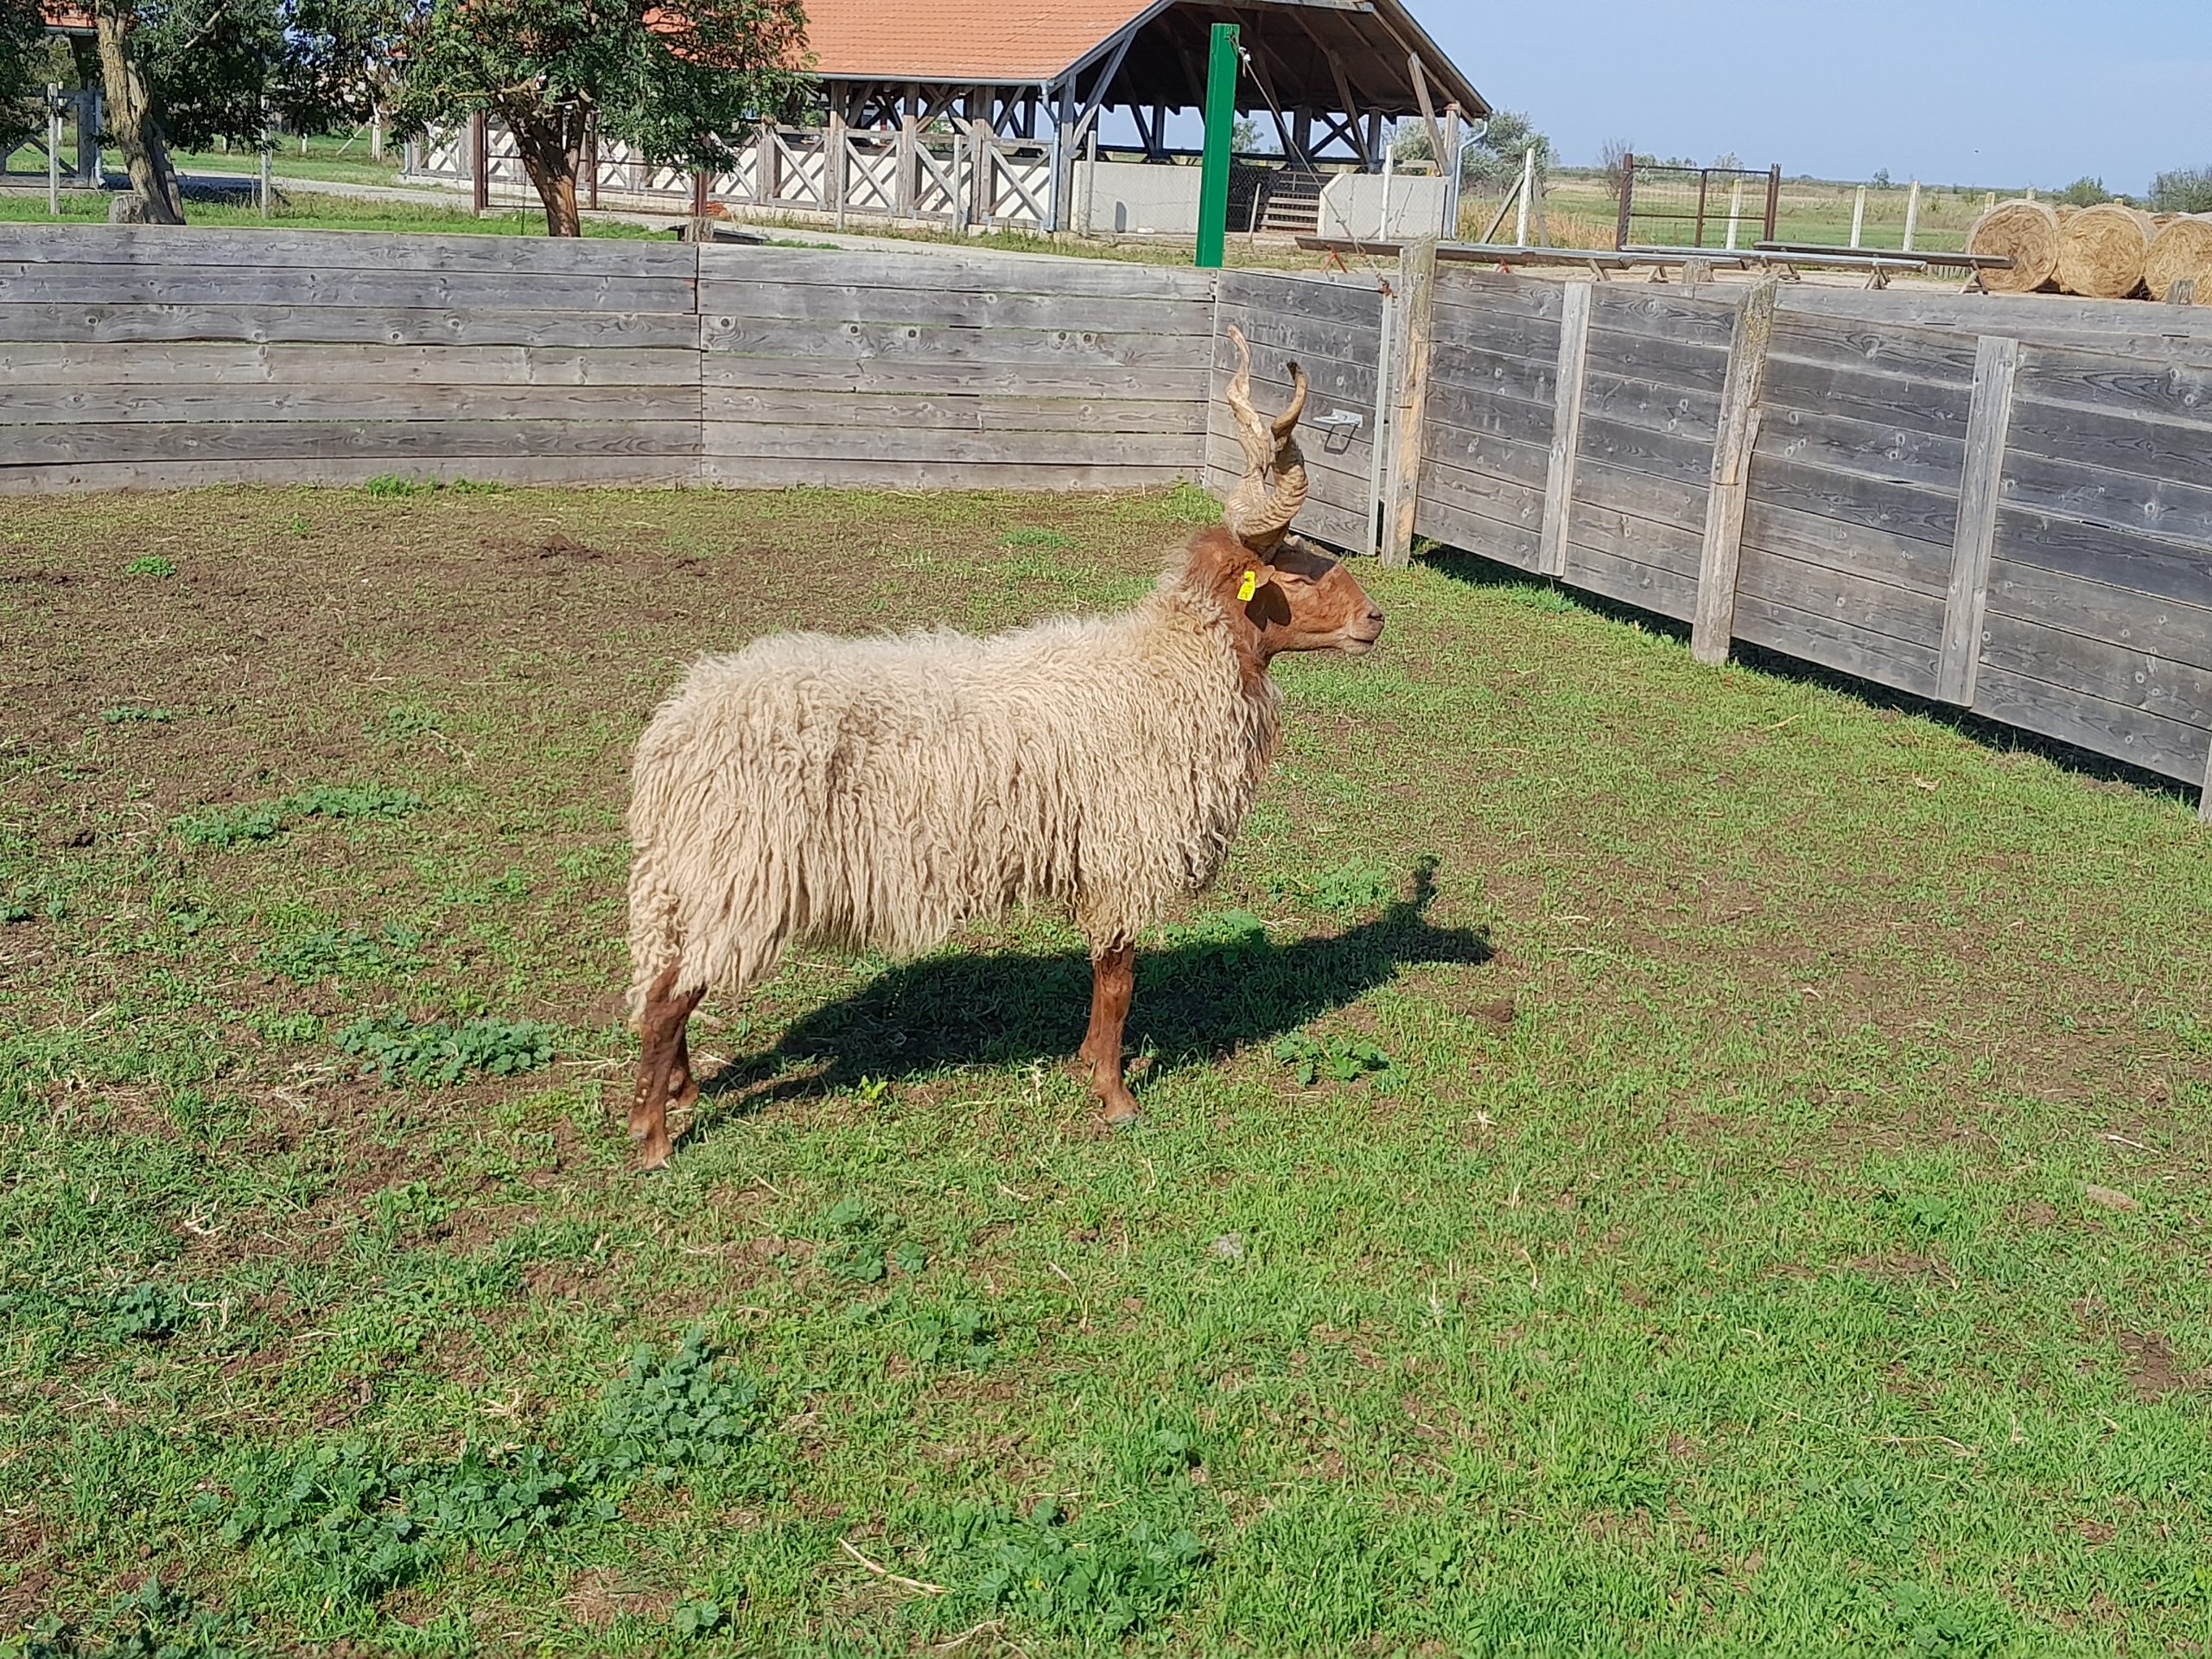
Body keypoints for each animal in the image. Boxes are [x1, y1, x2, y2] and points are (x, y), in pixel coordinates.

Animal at [628, 334, 1380, 1167]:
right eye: (1296, 571)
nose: (1375, 619)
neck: (1167, 665)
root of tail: (675, 730)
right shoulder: (1124, 852)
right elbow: (1119, 981)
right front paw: (1115, 1097)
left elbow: (1102, 978)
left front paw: (1086, 1064)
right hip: (739, 871)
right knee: (664, 1001)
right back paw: (652, 1137)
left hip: (697, 879)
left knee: (671, 979)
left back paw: (681, 1091)